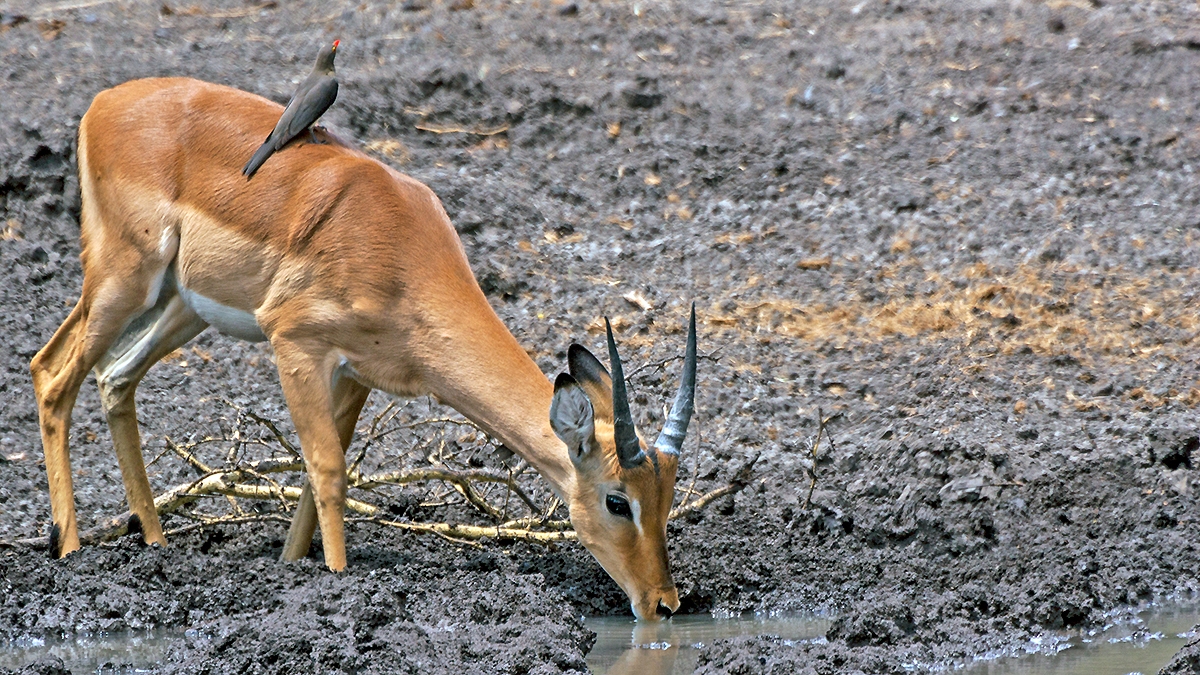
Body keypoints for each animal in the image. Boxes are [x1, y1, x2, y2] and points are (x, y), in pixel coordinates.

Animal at [30, 78, 697, 621]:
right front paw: (338, 582)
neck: (401, 248)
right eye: (618, 501)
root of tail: (102, 103)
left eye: (668, 495)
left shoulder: (358, 372)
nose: (663, 602)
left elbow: (317, 478)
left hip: (179, 305)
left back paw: (157, 543)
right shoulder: (295, 342)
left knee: (115, 377)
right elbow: (327, 471)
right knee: (51, 373)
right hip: (123, 279)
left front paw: (292, 567)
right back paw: (69, 548)